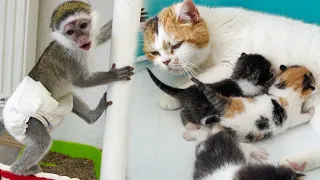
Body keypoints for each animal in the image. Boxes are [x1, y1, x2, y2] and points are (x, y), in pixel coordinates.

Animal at [0, 0, 149, 176]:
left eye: (83, 25)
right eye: (70, 32)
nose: (81, 37)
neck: (73, 47)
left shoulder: (91, 39)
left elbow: (98, 36)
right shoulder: (68, 58)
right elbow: (81, 81)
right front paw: (113, 75)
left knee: (70, 99)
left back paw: (92, 116)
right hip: (30, 122)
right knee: (42, 142)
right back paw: (20, 170)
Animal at [142, 0, 320, 110]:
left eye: (176, 45)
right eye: (155, 53)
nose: (165, 61)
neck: (215, 32)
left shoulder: (229, 65)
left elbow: (199, 79)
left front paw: (171, 96)